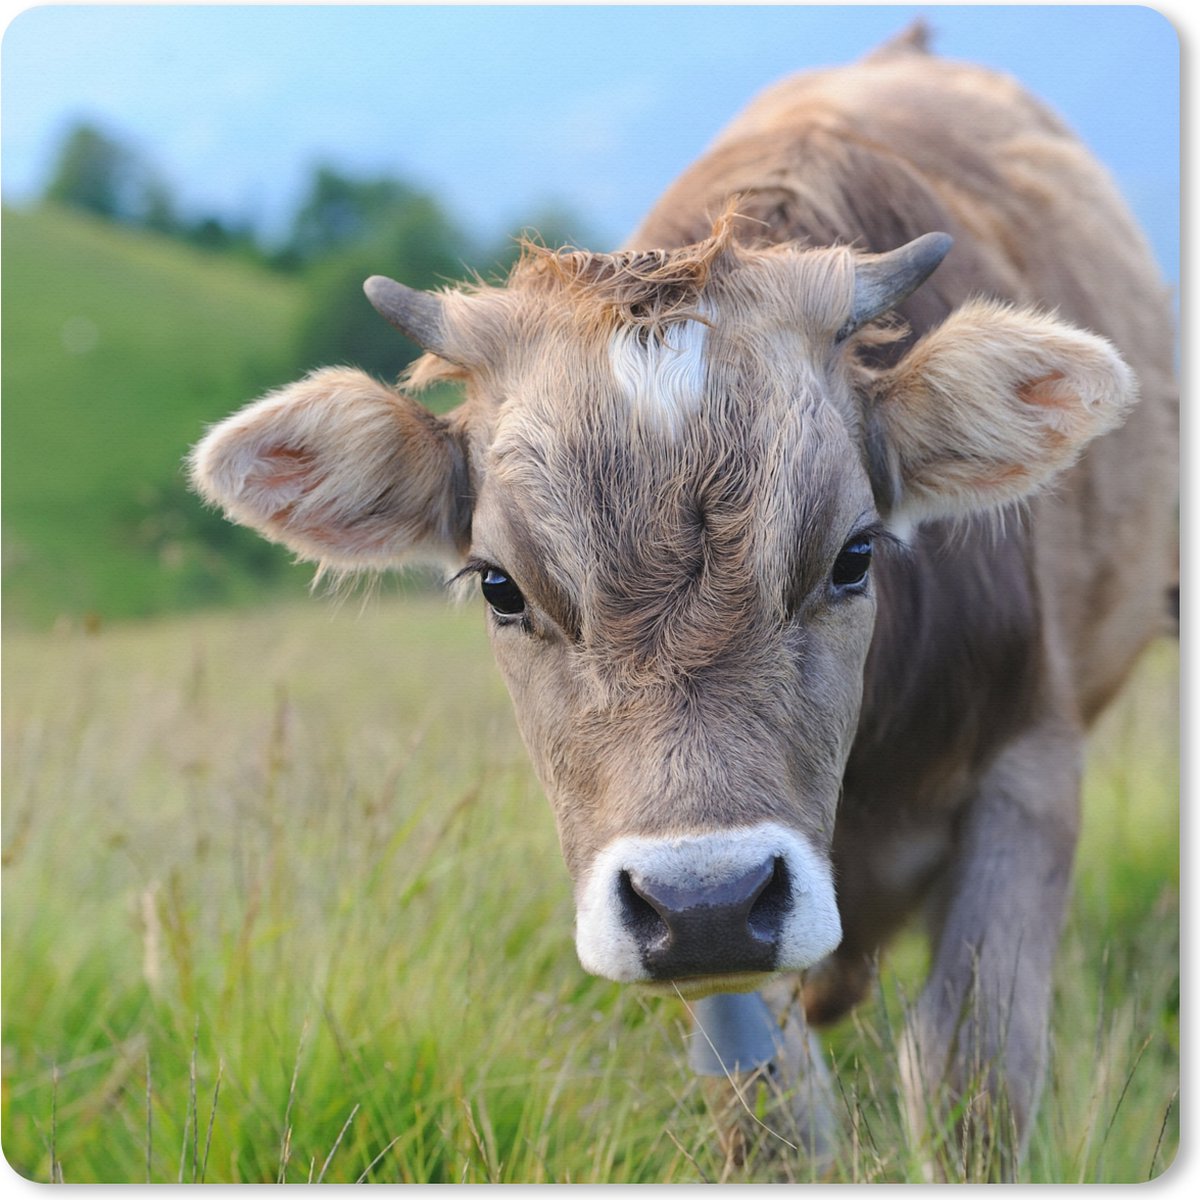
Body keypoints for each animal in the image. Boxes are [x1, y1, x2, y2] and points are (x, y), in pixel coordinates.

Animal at [189, 25, 1177, 1178]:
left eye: (854, 557)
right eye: (500, 586)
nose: (706, 901)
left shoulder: (1031, 762)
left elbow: (971, 1077)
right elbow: (774, 1118)